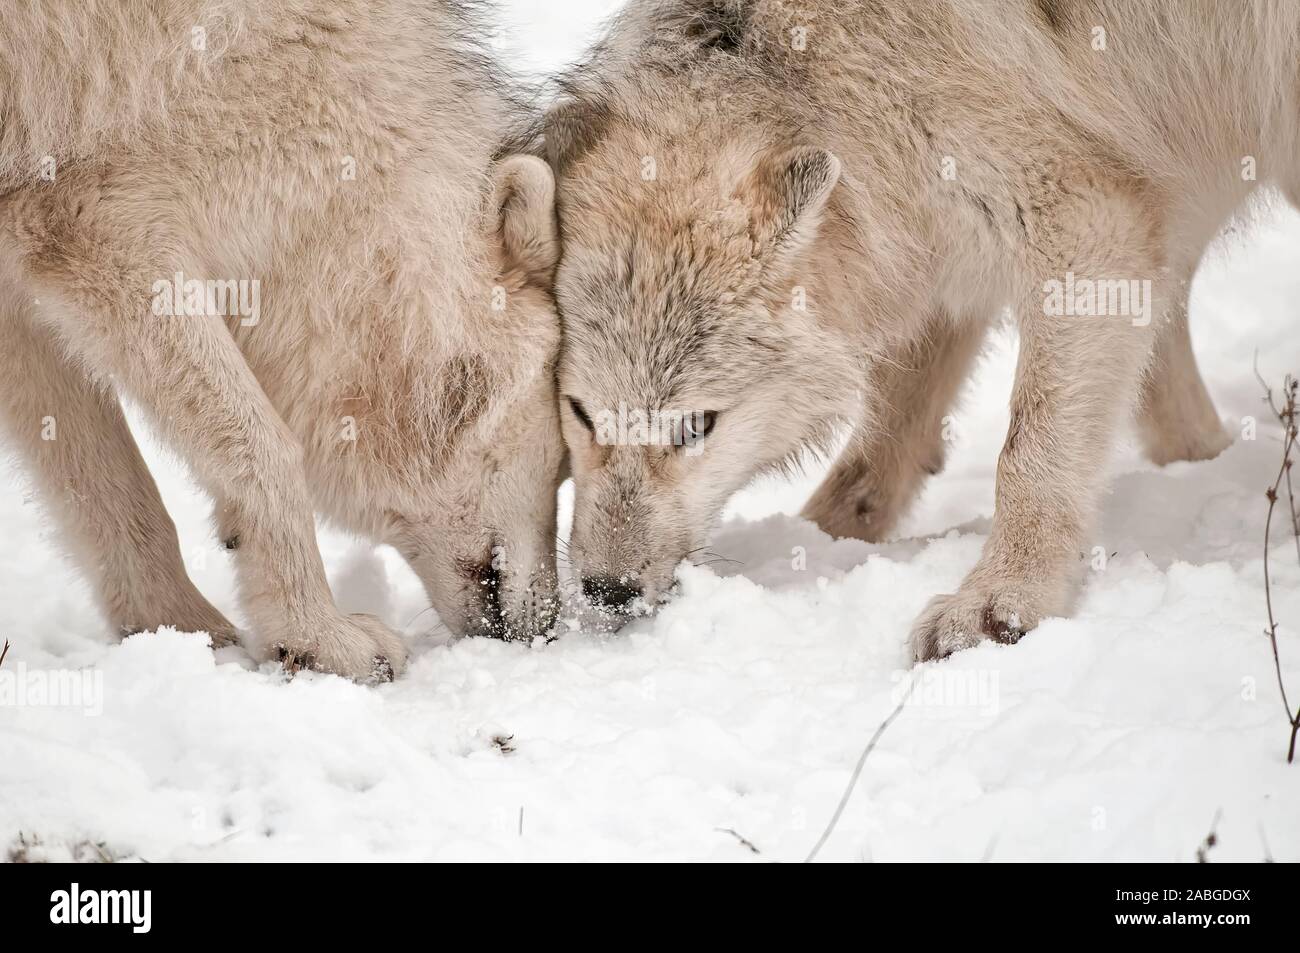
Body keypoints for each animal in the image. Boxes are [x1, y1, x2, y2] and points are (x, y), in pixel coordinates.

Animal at [0, 1, 564, 686]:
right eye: (569, 453)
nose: (551, 628)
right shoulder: (108, 227)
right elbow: (264, 450)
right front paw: (315, 637)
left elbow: (110, 491)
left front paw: (178, 634)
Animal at [540, 0, 1300, 655]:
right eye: (579, 412)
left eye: (697, 426)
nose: (608, 591)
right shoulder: (935, 239)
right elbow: (887, 434)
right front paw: (823, 536)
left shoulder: (1089, 218)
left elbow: (1026, 455)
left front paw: (1001, 605)